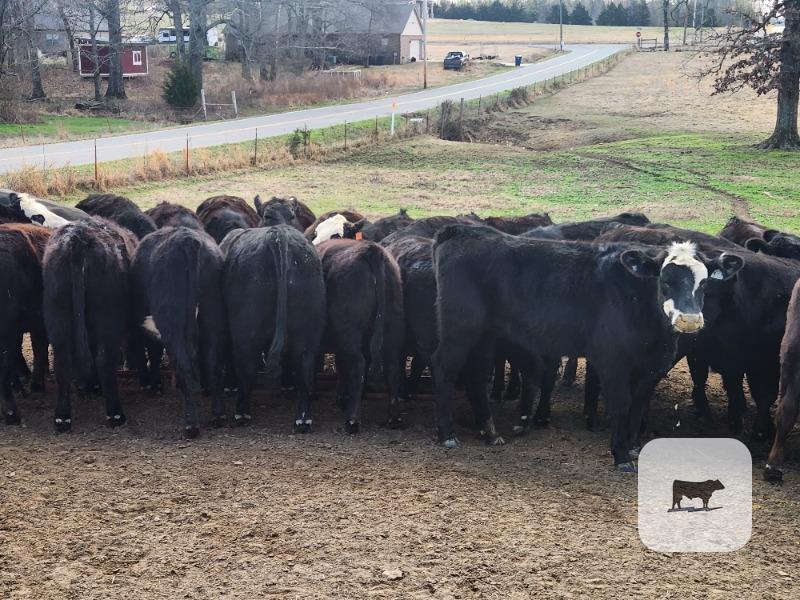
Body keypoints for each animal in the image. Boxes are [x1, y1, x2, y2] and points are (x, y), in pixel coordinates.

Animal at [43, 218, 136, 431]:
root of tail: (78, 237)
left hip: (58, 311)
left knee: (63, 360)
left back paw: (62, 417)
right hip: (106, 315)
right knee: (103, 358)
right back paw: (115, 415)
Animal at [131, 227, 226, 437]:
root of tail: (188, 239)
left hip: (171, 319)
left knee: (183, 362)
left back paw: (191, 424)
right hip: (212, 312)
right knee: (212, 360)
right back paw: (218, 415)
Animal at [222, 225, 326, 430]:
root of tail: (278, 234)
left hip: (246, 331)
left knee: (246, 366)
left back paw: (242, 412)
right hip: (306, 332)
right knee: (304, 366)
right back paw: (303, 418)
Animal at [317, 239, 405, 432]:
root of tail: (372, 251)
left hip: (349, 332)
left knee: (358, 366)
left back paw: (352, 419)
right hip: (392, 328)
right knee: (392, 368)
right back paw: (394, 417)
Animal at [431, 224, 734, 471]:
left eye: (704, 282)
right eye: (665, 280)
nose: (689, 320)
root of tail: (459, 230)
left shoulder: (651, 367)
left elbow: (638, 407)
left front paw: (633, 448)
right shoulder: (613, 360)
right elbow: (622, 405)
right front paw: (620, 456)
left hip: (485, 335)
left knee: (477, 376)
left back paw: (490, 432)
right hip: (459, 328)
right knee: (444, 369)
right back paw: (448, 434)